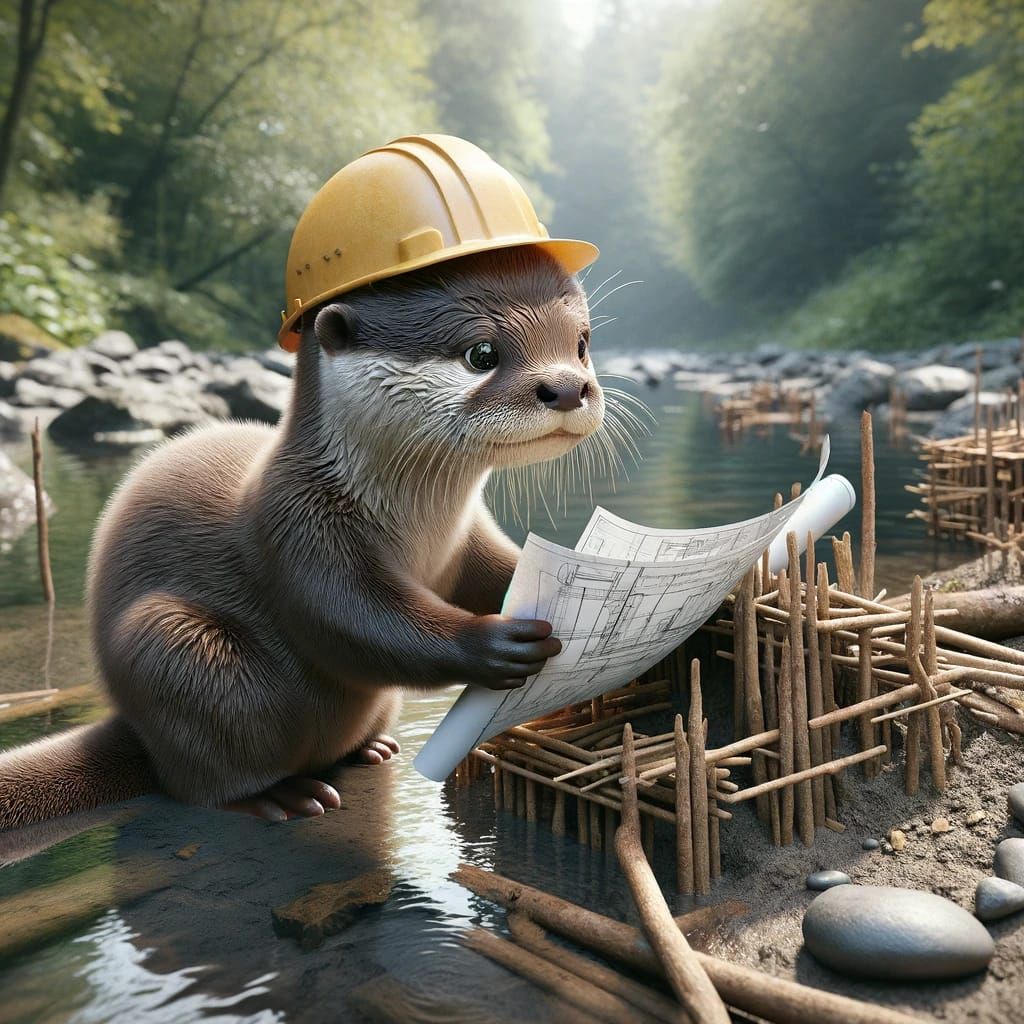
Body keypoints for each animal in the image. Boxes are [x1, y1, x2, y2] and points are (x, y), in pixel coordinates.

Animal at [0, 247, 604, 828]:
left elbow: (495, 570)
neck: (420, 525)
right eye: (481, 353)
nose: (569, 387)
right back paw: (280, 796)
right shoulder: (295, 523)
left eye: (580, 345)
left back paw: (371, 749)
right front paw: (493, 643)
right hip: (173, 651)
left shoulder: (467, 537)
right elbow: (345, 617)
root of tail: (133, 727)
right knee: (198, 779)